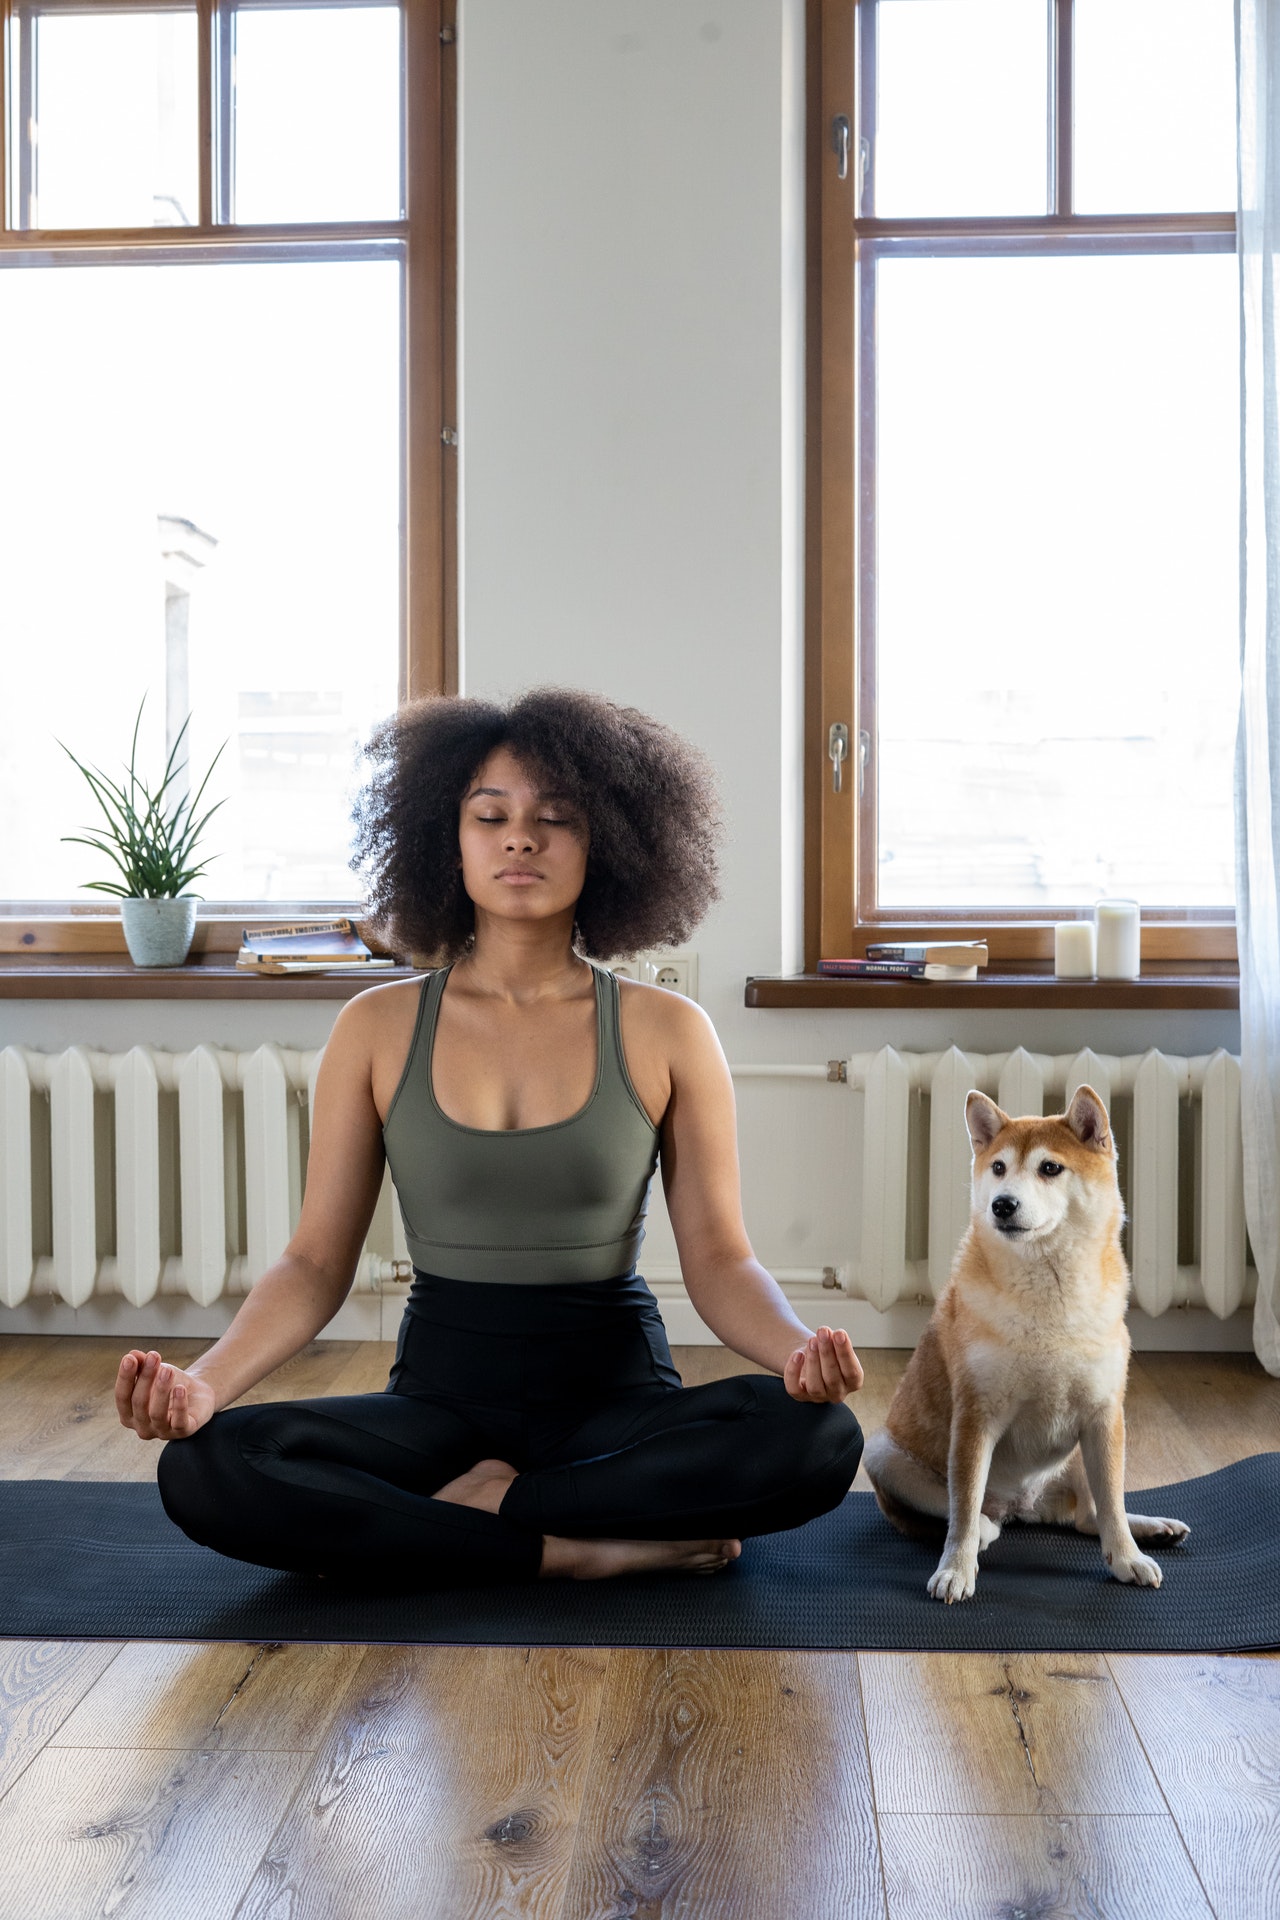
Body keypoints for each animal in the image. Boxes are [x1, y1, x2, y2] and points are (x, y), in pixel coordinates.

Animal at [859, 1082, 1189, 1605]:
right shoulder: (976, 1417)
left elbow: (1112, 1505)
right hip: (883, 1452)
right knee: (971, 1516)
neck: (1049, 1297)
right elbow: (963, 1508)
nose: (1002, 1204)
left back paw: (1151, 1528)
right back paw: (986, 1530)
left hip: (1080, 1455)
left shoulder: (1104, 1414)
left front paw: (1128, 1557)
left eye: (1049, 1168)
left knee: (1090, 1515)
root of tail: (1023, 1507)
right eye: (998, 1168)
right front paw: (956, 1569)